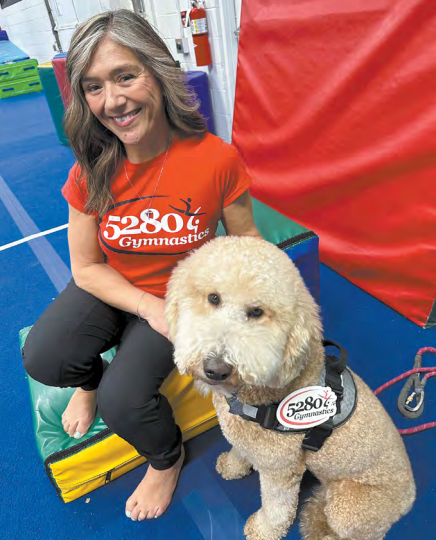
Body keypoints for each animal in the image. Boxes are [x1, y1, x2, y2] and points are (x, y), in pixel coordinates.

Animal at [167, 236, 416, 540]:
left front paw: (263, 530)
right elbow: (240, 450)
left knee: (362, 533)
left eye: (257, 312)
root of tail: (410, 497)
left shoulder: (280, 468)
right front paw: (233, 466)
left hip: (350, 507)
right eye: (213, 298)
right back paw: (314, 516)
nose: (216, 368)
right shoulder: (246, 438)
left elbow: (277, 508)